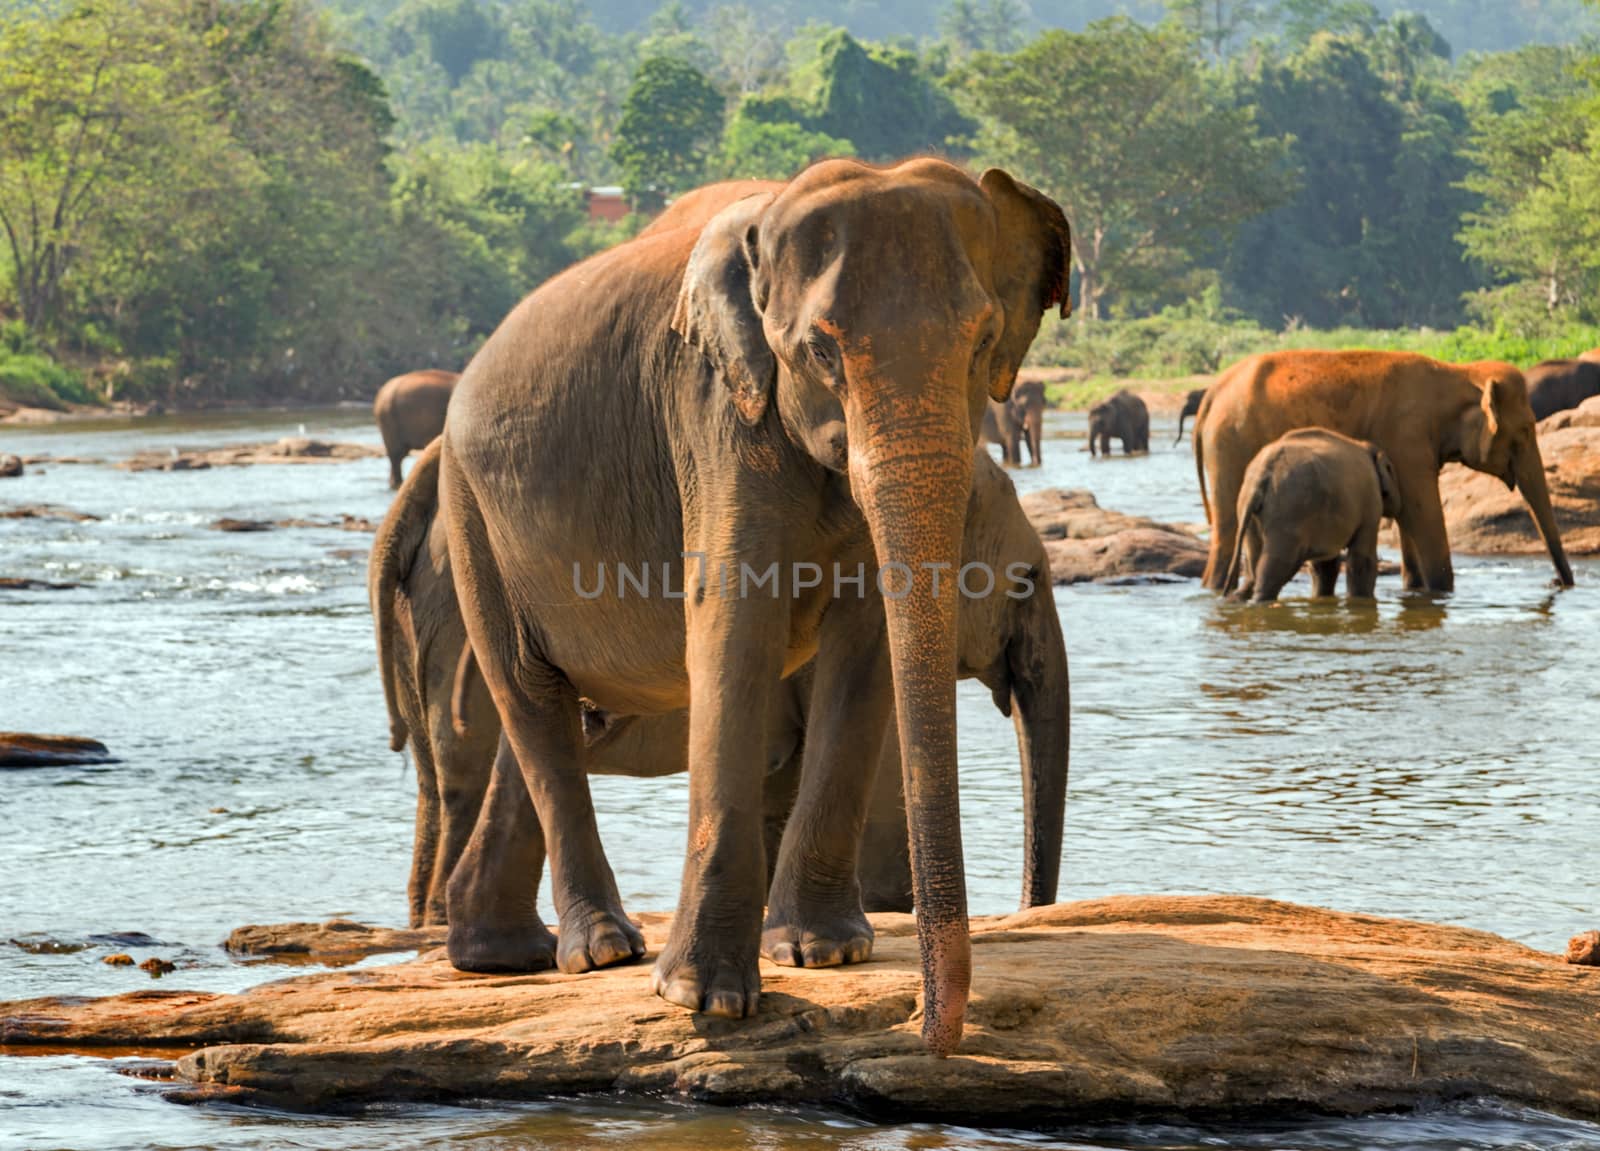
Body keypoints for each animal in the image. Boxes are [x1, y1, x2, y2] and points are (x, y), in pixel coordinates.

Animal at [1222, 425, 1401, 601]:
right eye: (1391, 470)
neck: (1366, 447)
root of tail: (1261, 475)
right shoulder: (1370, 502)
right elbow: (1362, 560)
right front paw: (1361, 601)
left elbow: (1324, 564)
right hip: (1289, 511)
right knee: (1279, 564)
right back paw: (1261, 600)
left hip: (1249, 511)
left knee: (1254, 563)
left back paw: (1238, 598)